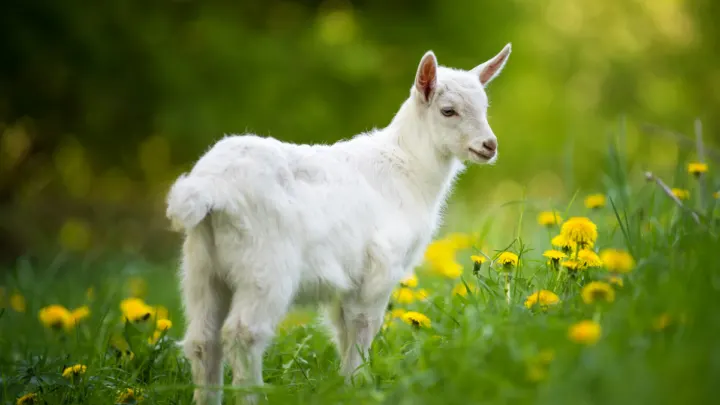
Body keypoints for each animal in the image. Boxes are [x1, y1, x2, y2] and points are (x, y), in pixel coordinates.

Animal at [166, 44, 512, 404]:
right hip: (266, 266)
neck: (407, 167)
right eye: (448, 111)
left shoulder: (349, 278)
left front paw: (345, 384)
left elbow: (342, 326)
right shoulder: (382, 264)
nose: (489, 146)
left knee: (203, 340)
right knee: (243, 334)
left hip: (202, 266)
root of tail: (209, 187)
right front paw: (359, 383)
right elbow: (364, 323)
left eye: (484, 107)